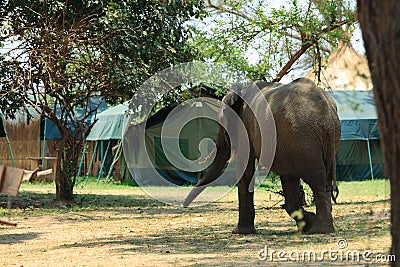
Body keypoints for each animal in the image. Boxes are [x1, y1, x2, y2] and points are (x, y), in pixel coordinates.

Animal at [184, 77, 340, 234]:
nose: (185, 206)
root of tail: (328, 115)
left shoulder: (246, 126)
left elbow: (246, 169)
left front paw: (240, 232)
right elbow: (288, 177)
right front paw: (307, 222)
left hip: (304, 139)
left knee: (317, 180)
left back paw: (319, 229)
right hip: (317, 139)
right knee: (324, 180)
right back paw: (320, 227)